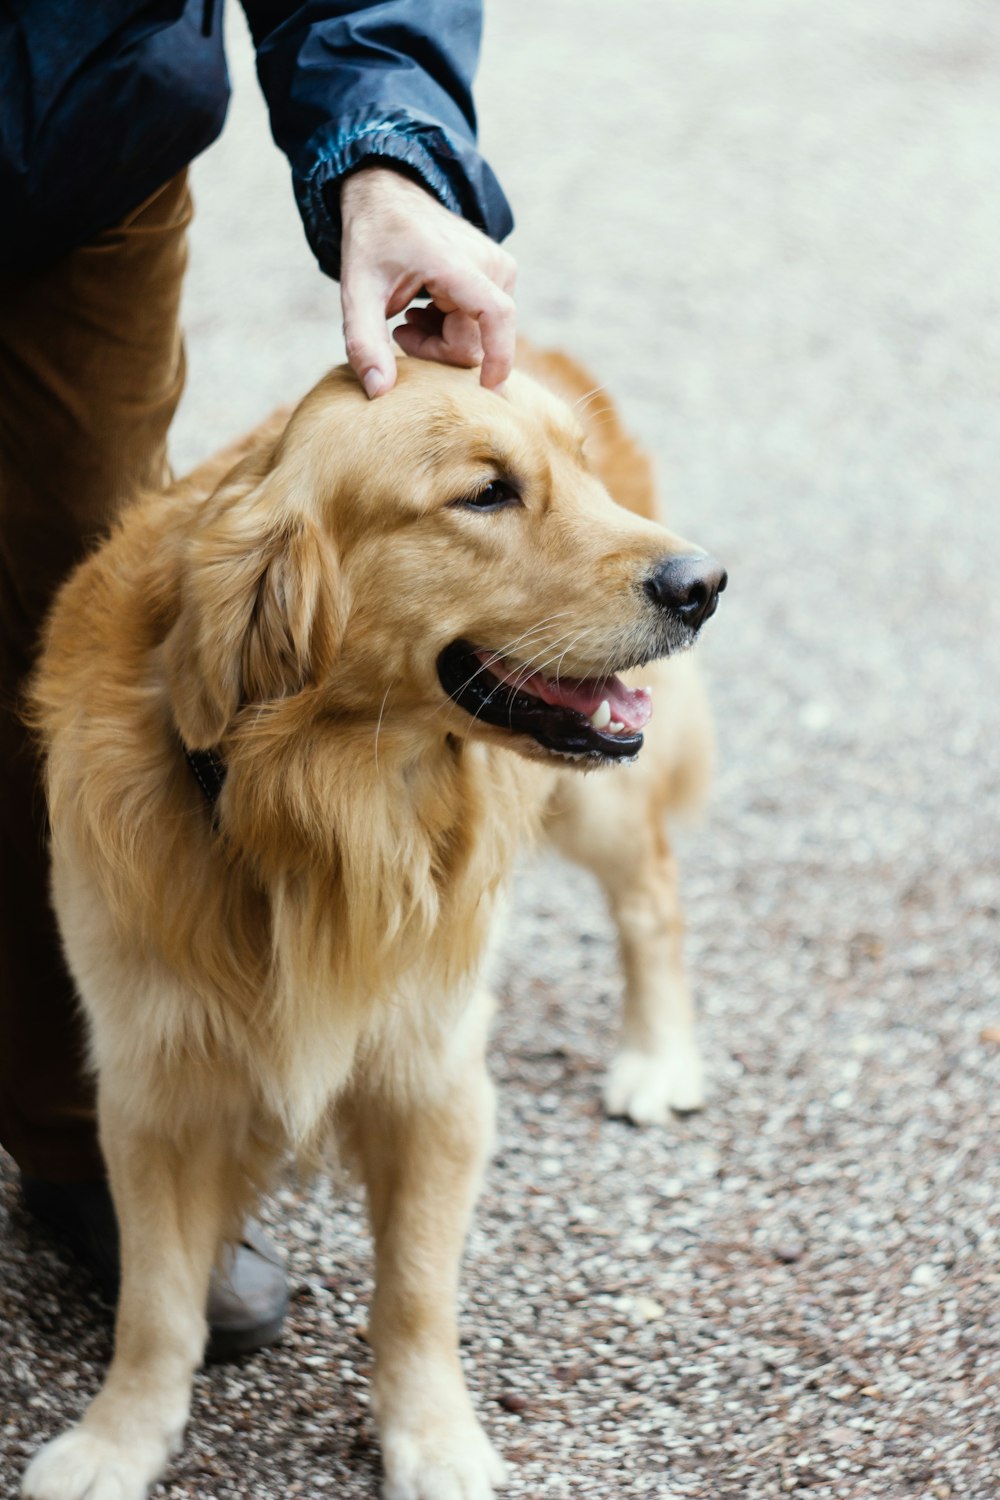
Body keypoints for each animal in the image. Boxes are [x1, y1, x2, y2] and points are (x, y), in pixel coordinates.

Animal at [23, 348, 722, 1500]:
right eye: (484, 493)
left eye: (576, 472)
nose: (704, 584)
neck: (320, 808)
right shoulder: (154, 1083)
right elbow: (157, 1304)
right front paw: (119, 1441)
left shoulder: (431, 1075)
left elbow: (415, 1292)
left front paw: (433, 1440)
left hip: (602, 803)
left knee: (654, 899)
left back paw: (656, 1058)